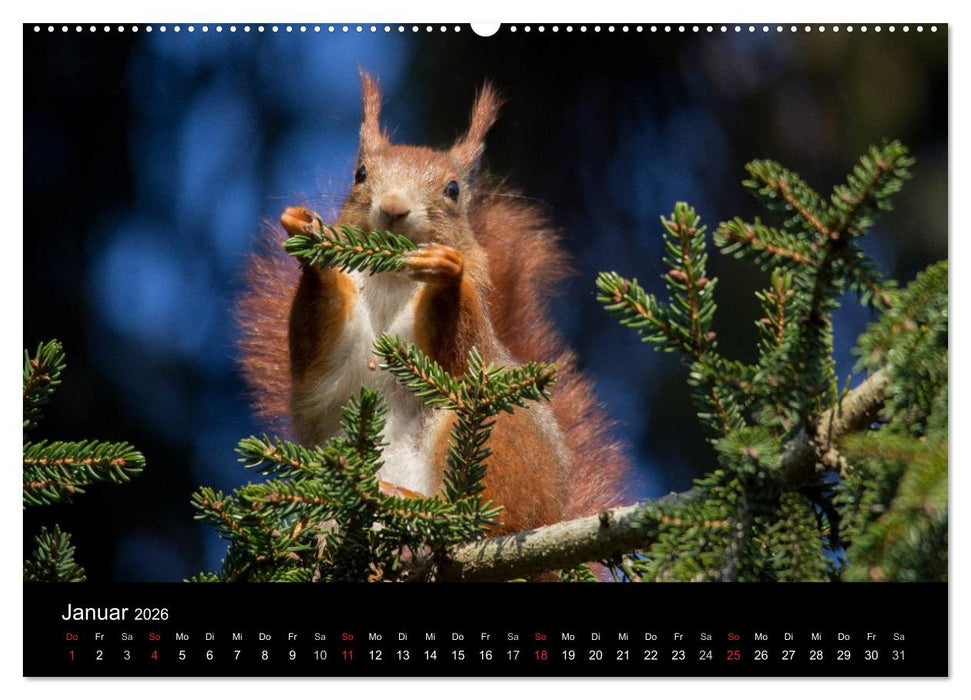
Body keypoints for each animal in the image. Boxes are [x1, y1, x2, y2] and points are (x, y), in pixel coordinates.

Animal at [236, 73, 628, 535]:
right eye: (360, 174)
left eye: (453, 190)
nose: (393, 206)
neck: (391, 280)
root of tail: (554, 513)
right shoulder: (334, 359)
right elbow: (318, 342)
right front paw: (308, 236)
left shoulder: (472, 339)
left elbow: (458, 349)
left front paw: (446, 271)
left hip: (494, 432)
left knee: (491, 518)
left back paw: (417, 505)